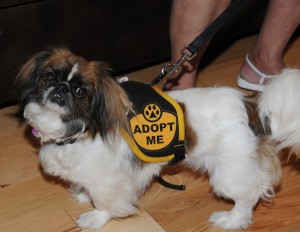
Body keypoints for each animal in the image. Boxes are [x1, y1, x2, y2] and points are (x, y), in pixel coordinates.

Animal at [15, 47, 300, 230]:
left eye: (80, 91)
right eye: (48, 77)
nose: (61, 88)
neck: (78, 129)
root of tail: (250, 106)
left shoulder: (109, 180)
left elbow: (104, 202)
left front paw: (95, 218)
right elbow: (86, 186)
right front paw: (82, 194)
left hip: (230, 170)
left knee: (248, 196)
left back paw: (232, 220)